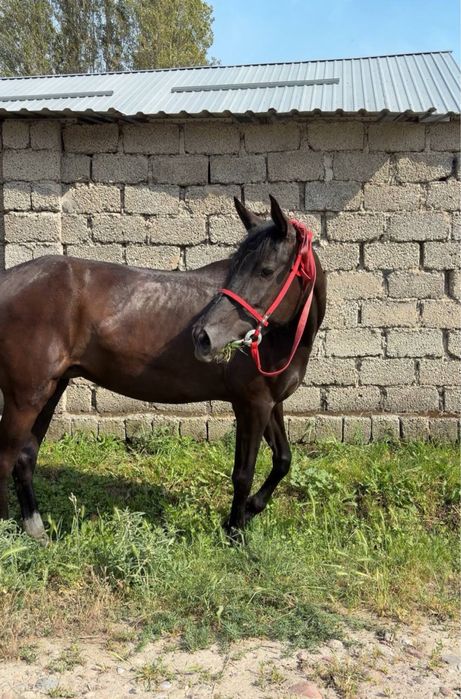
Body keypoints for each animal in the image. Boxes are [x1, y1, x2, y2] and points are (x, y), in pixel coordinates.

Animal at [0, 195, 326, 542]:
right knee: (5, 459)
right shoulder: (251, 404)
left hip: (49, 389)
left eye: (266, 271)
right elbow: (243, 473)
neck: (279, 338)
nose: (203, 336)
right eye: (235, 266)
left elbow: (283, 460)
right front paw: (235, 531)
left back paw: (36, 530)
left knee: (24, 457)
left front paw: (251, 509)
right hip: (24, 398)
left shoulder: (271, 403)